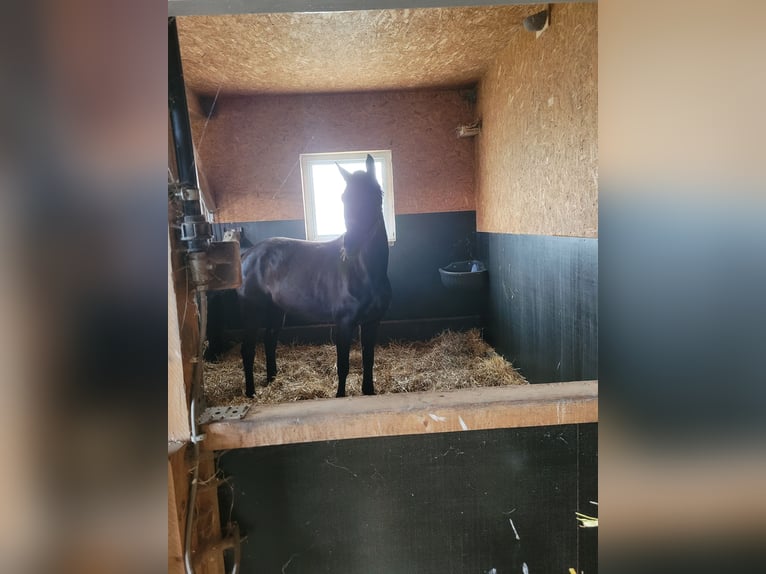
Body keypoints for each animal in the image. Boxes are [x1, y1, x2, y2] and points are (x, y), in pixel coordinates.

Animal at [238, 155, 396, 398]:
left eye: (375, 196)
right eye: (344, 197)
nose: (349, 247)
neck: (365, 273)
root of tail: (249, 254)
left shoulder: (372, 322)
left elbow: (368, 362)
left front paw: (368, 392)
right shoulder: (344, 322)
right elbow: (343, 366)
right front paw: (340, 396)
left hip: (275, 309)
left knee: (269, 339)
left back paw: (272, 380)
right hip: (251, 312)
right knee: (247, 349)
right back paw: (250, 392)